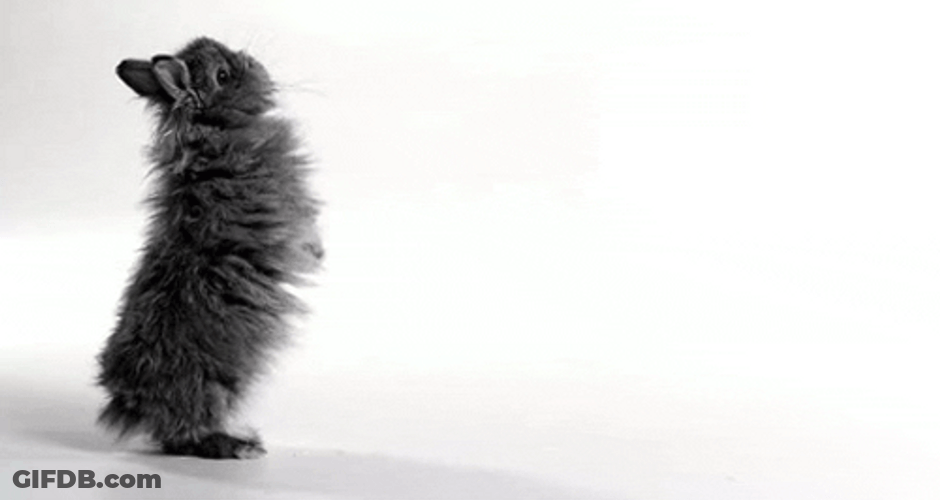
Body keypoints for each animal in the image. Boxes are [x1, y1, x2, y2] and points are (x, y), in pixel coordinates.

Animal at [97, 37, 322, 459]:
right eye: (222, 75)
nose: (255, 64)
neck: (213, 129)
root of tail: (131, 399)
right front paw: (319, 253)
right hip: (214, 386)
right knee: (184, 434)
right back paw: (239, 444)